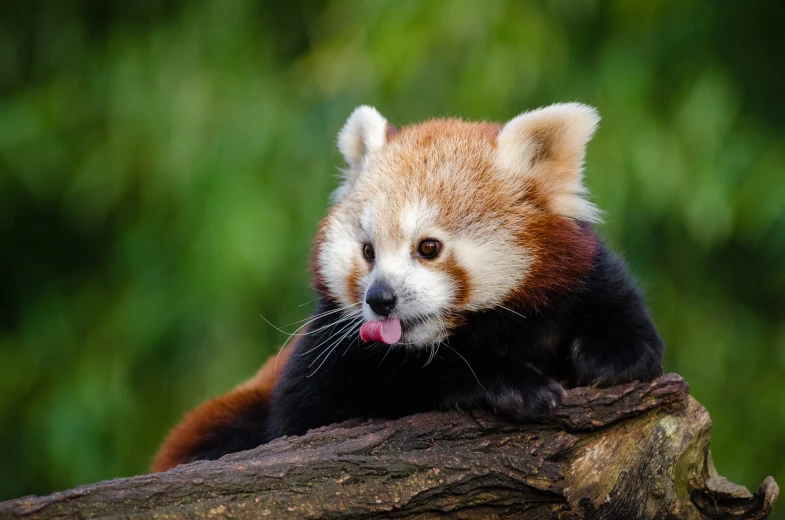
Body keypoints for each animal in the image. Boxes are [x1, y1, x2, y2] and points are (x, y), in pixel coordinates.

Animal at [152, 103, 660, 474]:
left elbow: (617, 306)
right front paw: (507, 384)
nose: (380, 299)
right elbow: (333, 401)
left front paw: (615, 353)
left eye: (428, 247)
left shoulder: (577, 274)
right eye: (368, 251)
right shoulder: (323, 359)